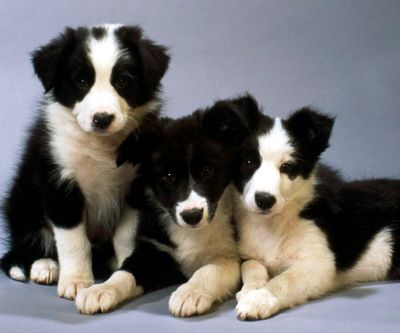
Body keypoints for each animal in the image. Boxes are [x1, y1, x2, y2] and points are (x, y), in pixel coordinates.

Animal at [0, 23, 170, 298]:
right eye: (81, 82)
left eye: (123, 81)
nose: (102, 119)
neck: (100, 144)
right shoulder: (59, 185)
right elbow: (73, 240)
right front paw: (76, 281)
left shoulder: (135, 186)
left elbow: (126, 234)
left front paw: (125, 267)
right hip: (22, 200)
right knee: (29, 242)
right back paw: (44, 266)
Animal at [73, 96, 253, 316]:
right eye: (168, 176)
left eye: (208, 170)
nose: (192, 216)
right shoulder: (153, 250)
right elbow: (126, 272)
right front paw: (101, 290)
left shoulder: (229, 255)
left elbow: (208, 271)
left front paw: (189, 293)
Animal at [230, 95, 400, 320]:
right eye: (249, 162)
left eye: (287, 167)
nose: (264, 200)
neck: (274, 223)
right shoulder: (250, 255)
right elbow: (252, 269)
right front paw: (249, 291)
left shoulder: (318, 263)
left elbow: (283, 281)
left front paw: (259, 299)